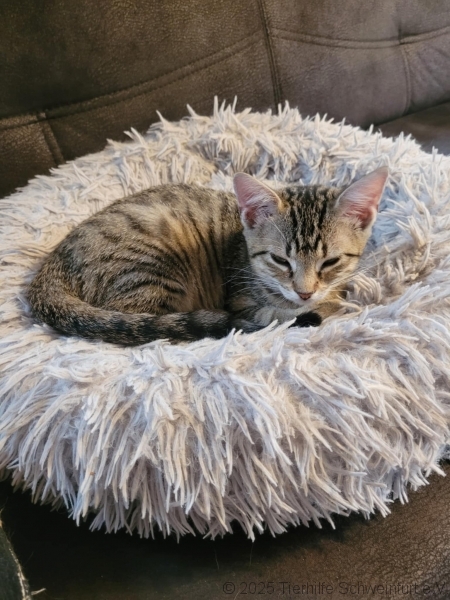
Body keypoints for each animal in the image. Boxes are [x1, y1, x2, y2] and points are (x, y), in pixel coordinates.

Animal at [27, 167, 388, 345]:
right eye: (280, 261)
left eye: (330, 262)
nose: (304, 292)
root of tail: (56, 258)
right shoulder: (242, 301)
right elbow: (275, 315)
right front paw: (332, 308)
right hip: (149, 271)